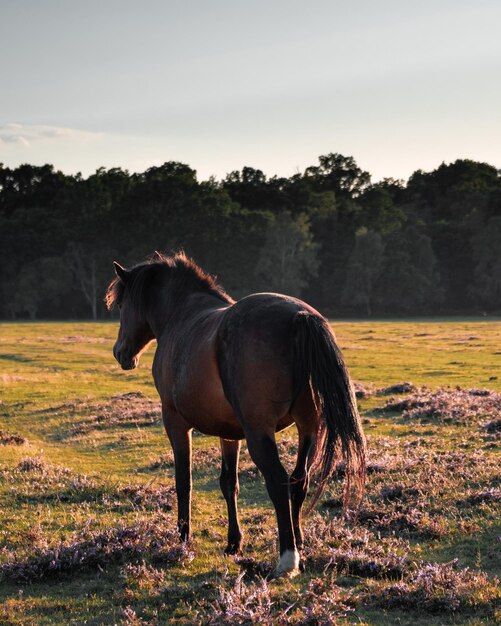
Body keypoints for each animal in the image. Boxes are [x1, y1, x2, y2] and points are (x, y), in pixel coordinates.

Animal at [104, 250, 364, 576]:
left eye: (122, 305)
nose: (120, 352)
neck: (180, 316)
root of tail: (298, 318)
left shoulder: (175, 422)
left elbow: (183, 481)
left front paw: (183, 540)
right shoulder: (230, 433)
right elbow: (229, 484)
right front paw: (233, 543)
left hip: (260, 433)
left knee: (278, 480)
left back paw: (287, 557)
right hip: (309, 429)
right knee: (298, 481)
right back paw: (299, 542)